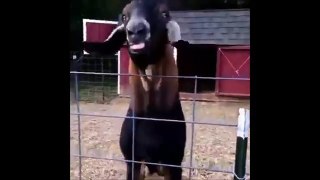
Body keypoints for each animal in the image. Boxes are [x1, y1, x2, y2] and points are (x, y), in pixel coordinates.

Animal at [82, 0, 191, 179]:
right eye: (124, 16)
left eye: (164, 13)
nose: (135, 31)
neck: (152, 115)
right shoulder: (132, 160)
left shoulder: (174, 162)